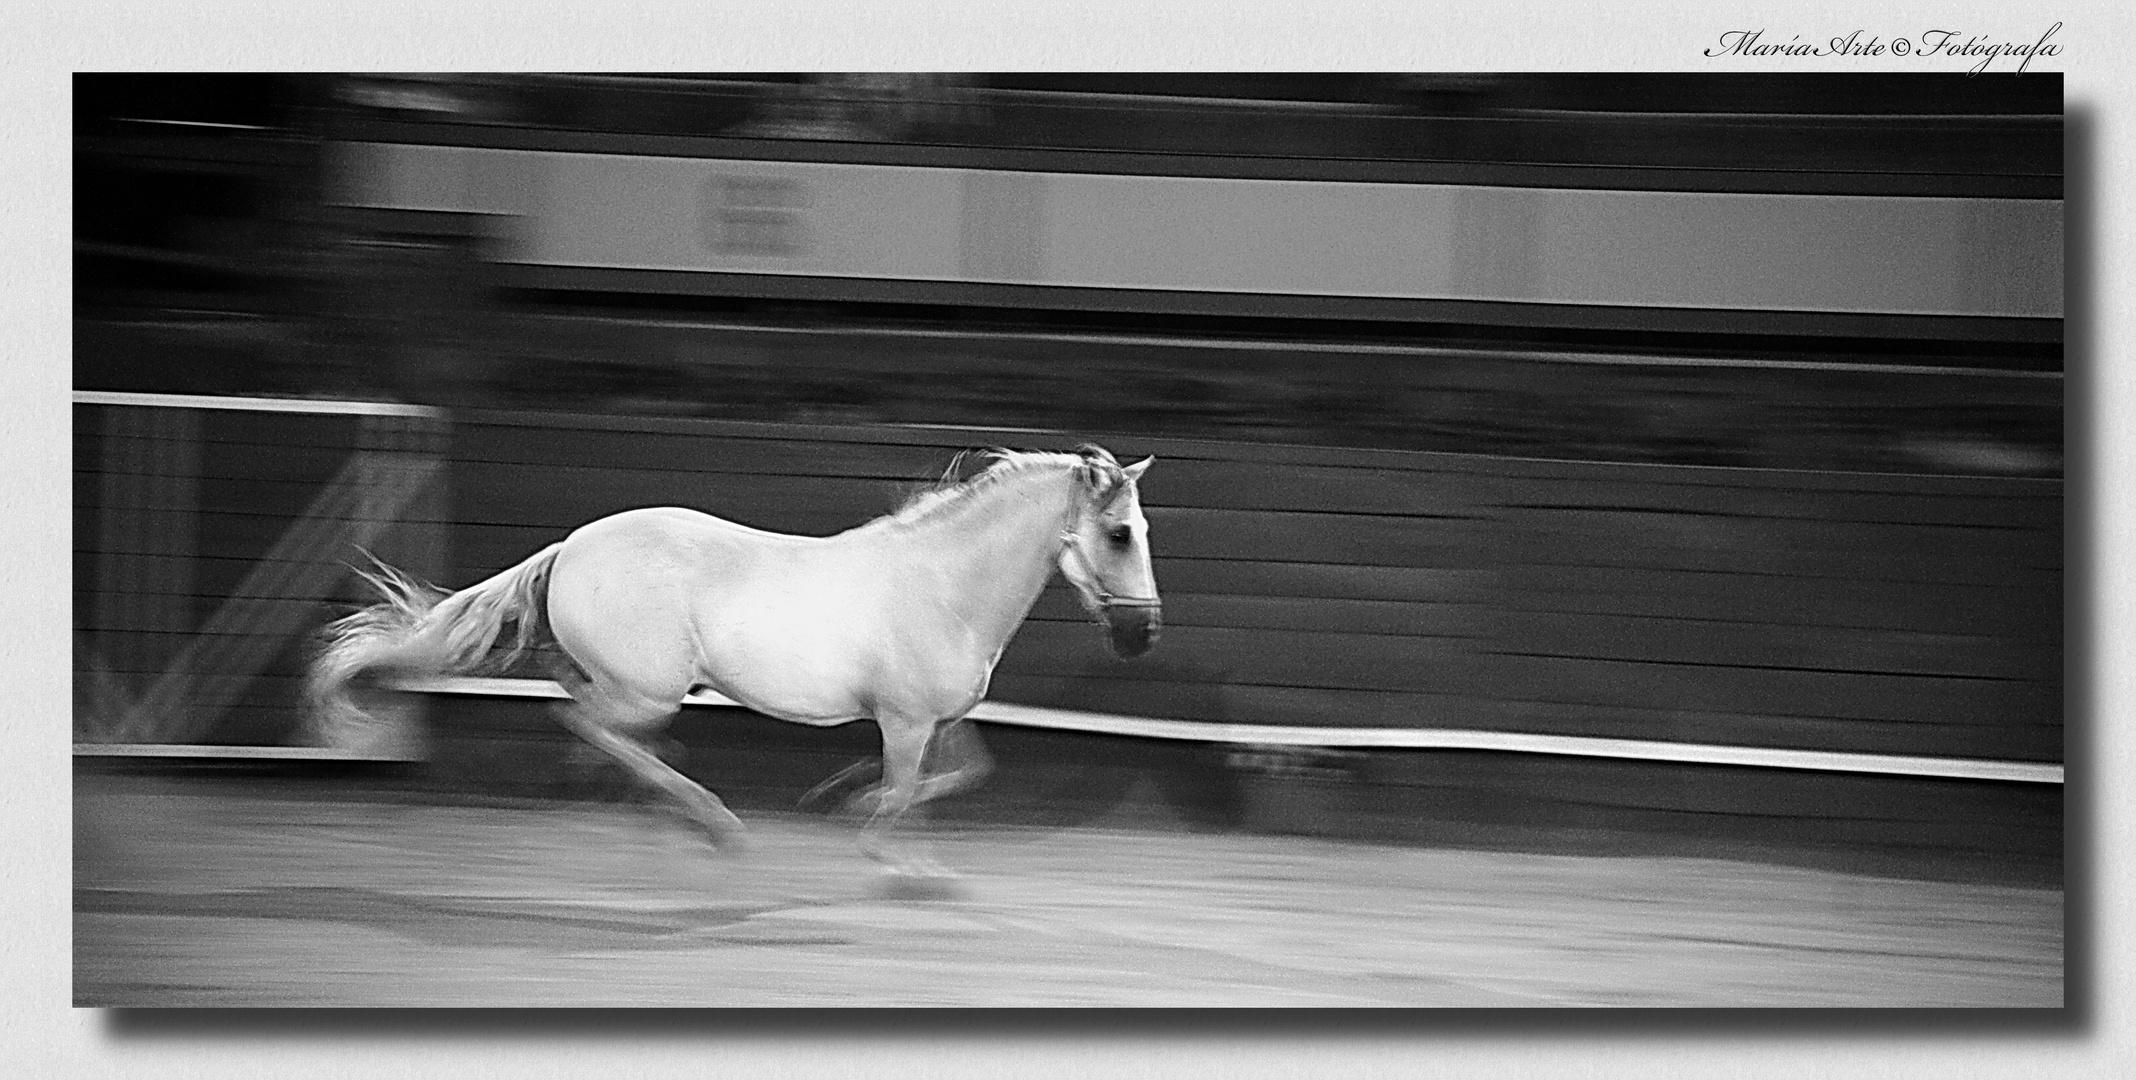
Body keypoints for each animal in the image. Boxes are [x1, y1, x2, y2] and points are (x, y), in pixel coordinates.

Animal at [309, 446, 1161, 879]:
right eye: (1119, 532)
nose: (1144, 634)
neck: (943, 586)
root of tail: (572, 545)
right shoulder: (907, 721)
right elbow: (901, 792)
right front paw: (877, 842)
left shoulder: (938, 719)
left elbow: (956, 777)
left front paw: (865, 819)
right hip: (646, 690)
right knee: (584, 722)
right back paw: (713, 825)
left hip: (627, 686)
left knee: (596, 721)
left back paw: (670, 818)